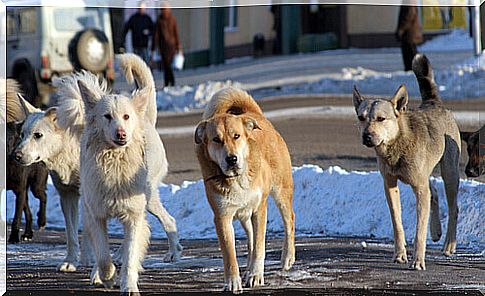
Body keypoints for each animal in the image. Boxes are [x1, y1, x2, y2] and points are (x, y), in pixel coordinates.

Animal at [194, 88, 294, 294]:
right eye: (216, 139)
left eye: (236, 136)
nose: (231, 159)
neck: (236, 178)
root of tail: (255, 114)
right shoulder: (222, 217)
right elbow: (230, 254)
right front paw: (233, 282)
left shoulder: (260, 209)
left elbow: (260, 246)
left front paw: (256, 275)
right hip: (244, 215)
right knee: (250, 238)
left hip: (281, 191)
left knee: (289, 220)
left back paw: (287, 258)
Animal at [352, 54, 458, 272]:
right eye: (361, 117)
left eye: (381, 118)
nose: (367, 137)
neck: (396, 147)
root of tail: (433, 102)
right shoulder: (390, 185)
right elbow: (397, 223)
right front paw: (400, 254)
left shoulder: (419, 189)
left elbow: (419, 230)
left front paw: (418, 260)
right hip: (427, 177)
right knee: (434, 193)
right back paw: (436, 231)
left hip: (450, 173)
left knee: (453, 208)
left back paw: (449, 245)